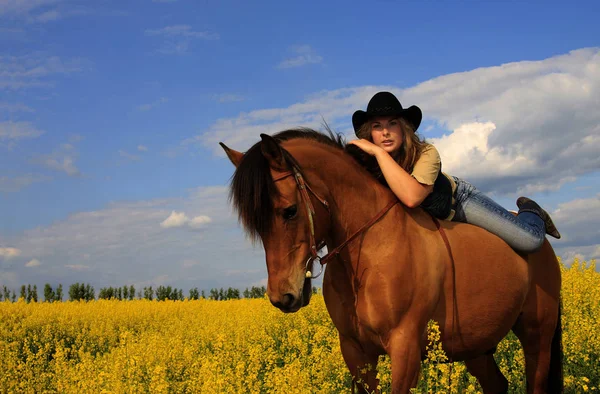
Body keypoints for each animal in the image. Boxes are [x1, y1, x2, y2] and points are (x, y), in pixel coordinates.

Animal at [220, 129, 564, 394]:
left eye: (289, 211)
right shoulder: (356, 351)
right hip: (477, 346)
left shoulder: (405, 348)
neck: (370, 254)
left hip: (537, 336)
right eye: (255, 224)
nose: (283, 296)